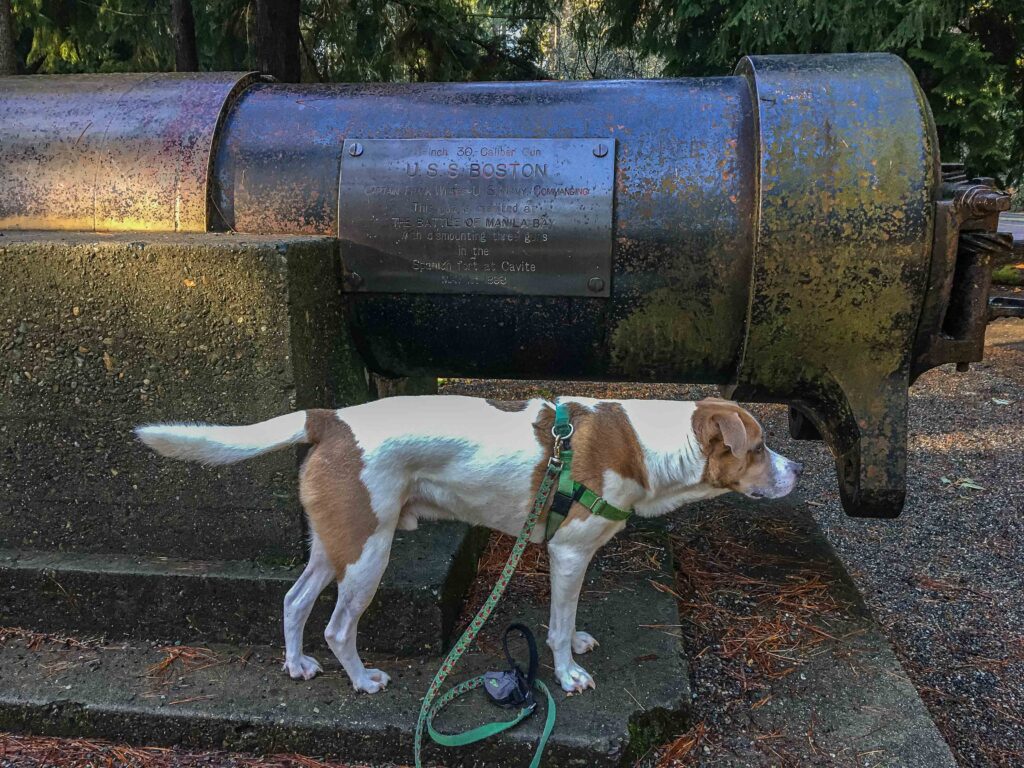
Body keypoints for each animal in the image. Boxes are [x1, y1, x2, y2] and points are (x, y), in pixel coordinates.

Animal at [136, 397, 802, 696]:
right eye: (760, 448)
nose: (795, 472)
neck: (646, 442)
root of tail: (330, 418)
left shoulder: (569, 557)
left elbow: (570, 618)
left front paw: (578, 641)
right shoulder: (567, 553)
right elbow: (558, 627)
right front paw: (567, 672)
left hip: (338, 543)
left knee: (295, 602)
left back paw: (297, 663)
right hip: (368, 556)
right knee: (337, 627)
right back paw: (362, 679)